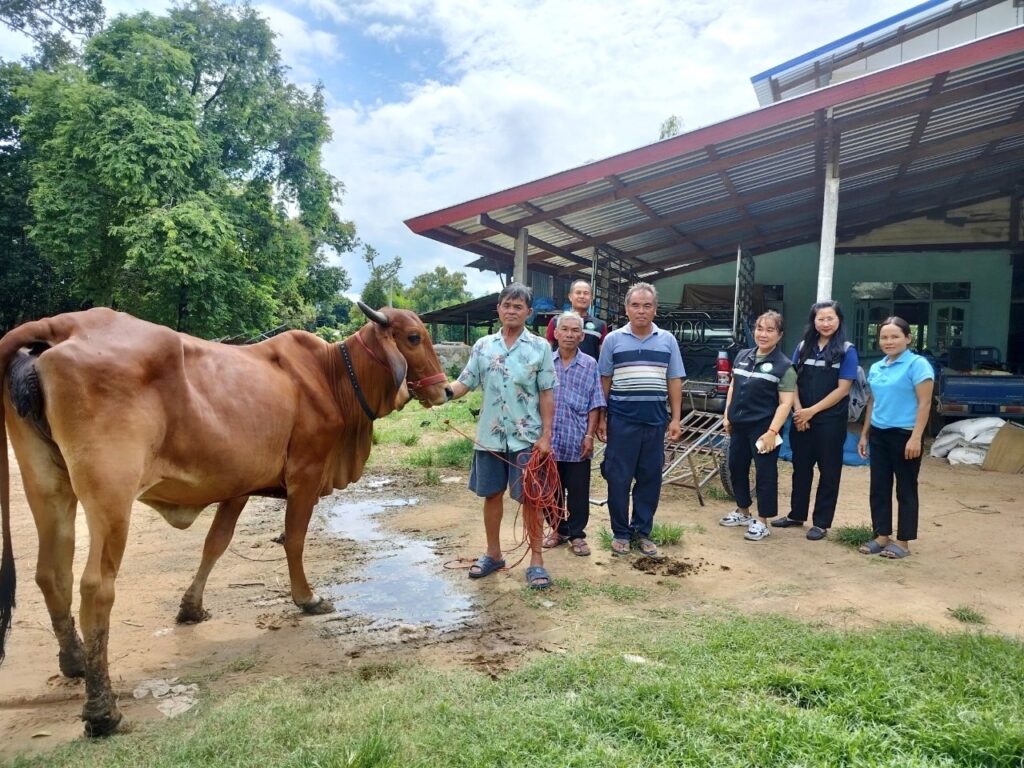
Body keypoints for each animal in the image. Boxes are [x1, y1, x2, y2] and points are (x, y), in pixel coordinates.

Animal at [0, 303, 451, 736]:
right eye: (414, 337)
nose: (446, 389)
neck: (331, 375)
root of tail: (63, 325)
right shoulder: (305, 474)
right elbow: (294, 538)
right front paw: (306, 598)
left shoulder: (239, 487)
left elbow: (215, 543)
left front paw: (191, 607)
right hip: (110, 493)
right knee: (95, 588)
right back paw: (102, 710)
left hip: (47, 484)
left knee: (51, 574)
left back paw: (74, 661)